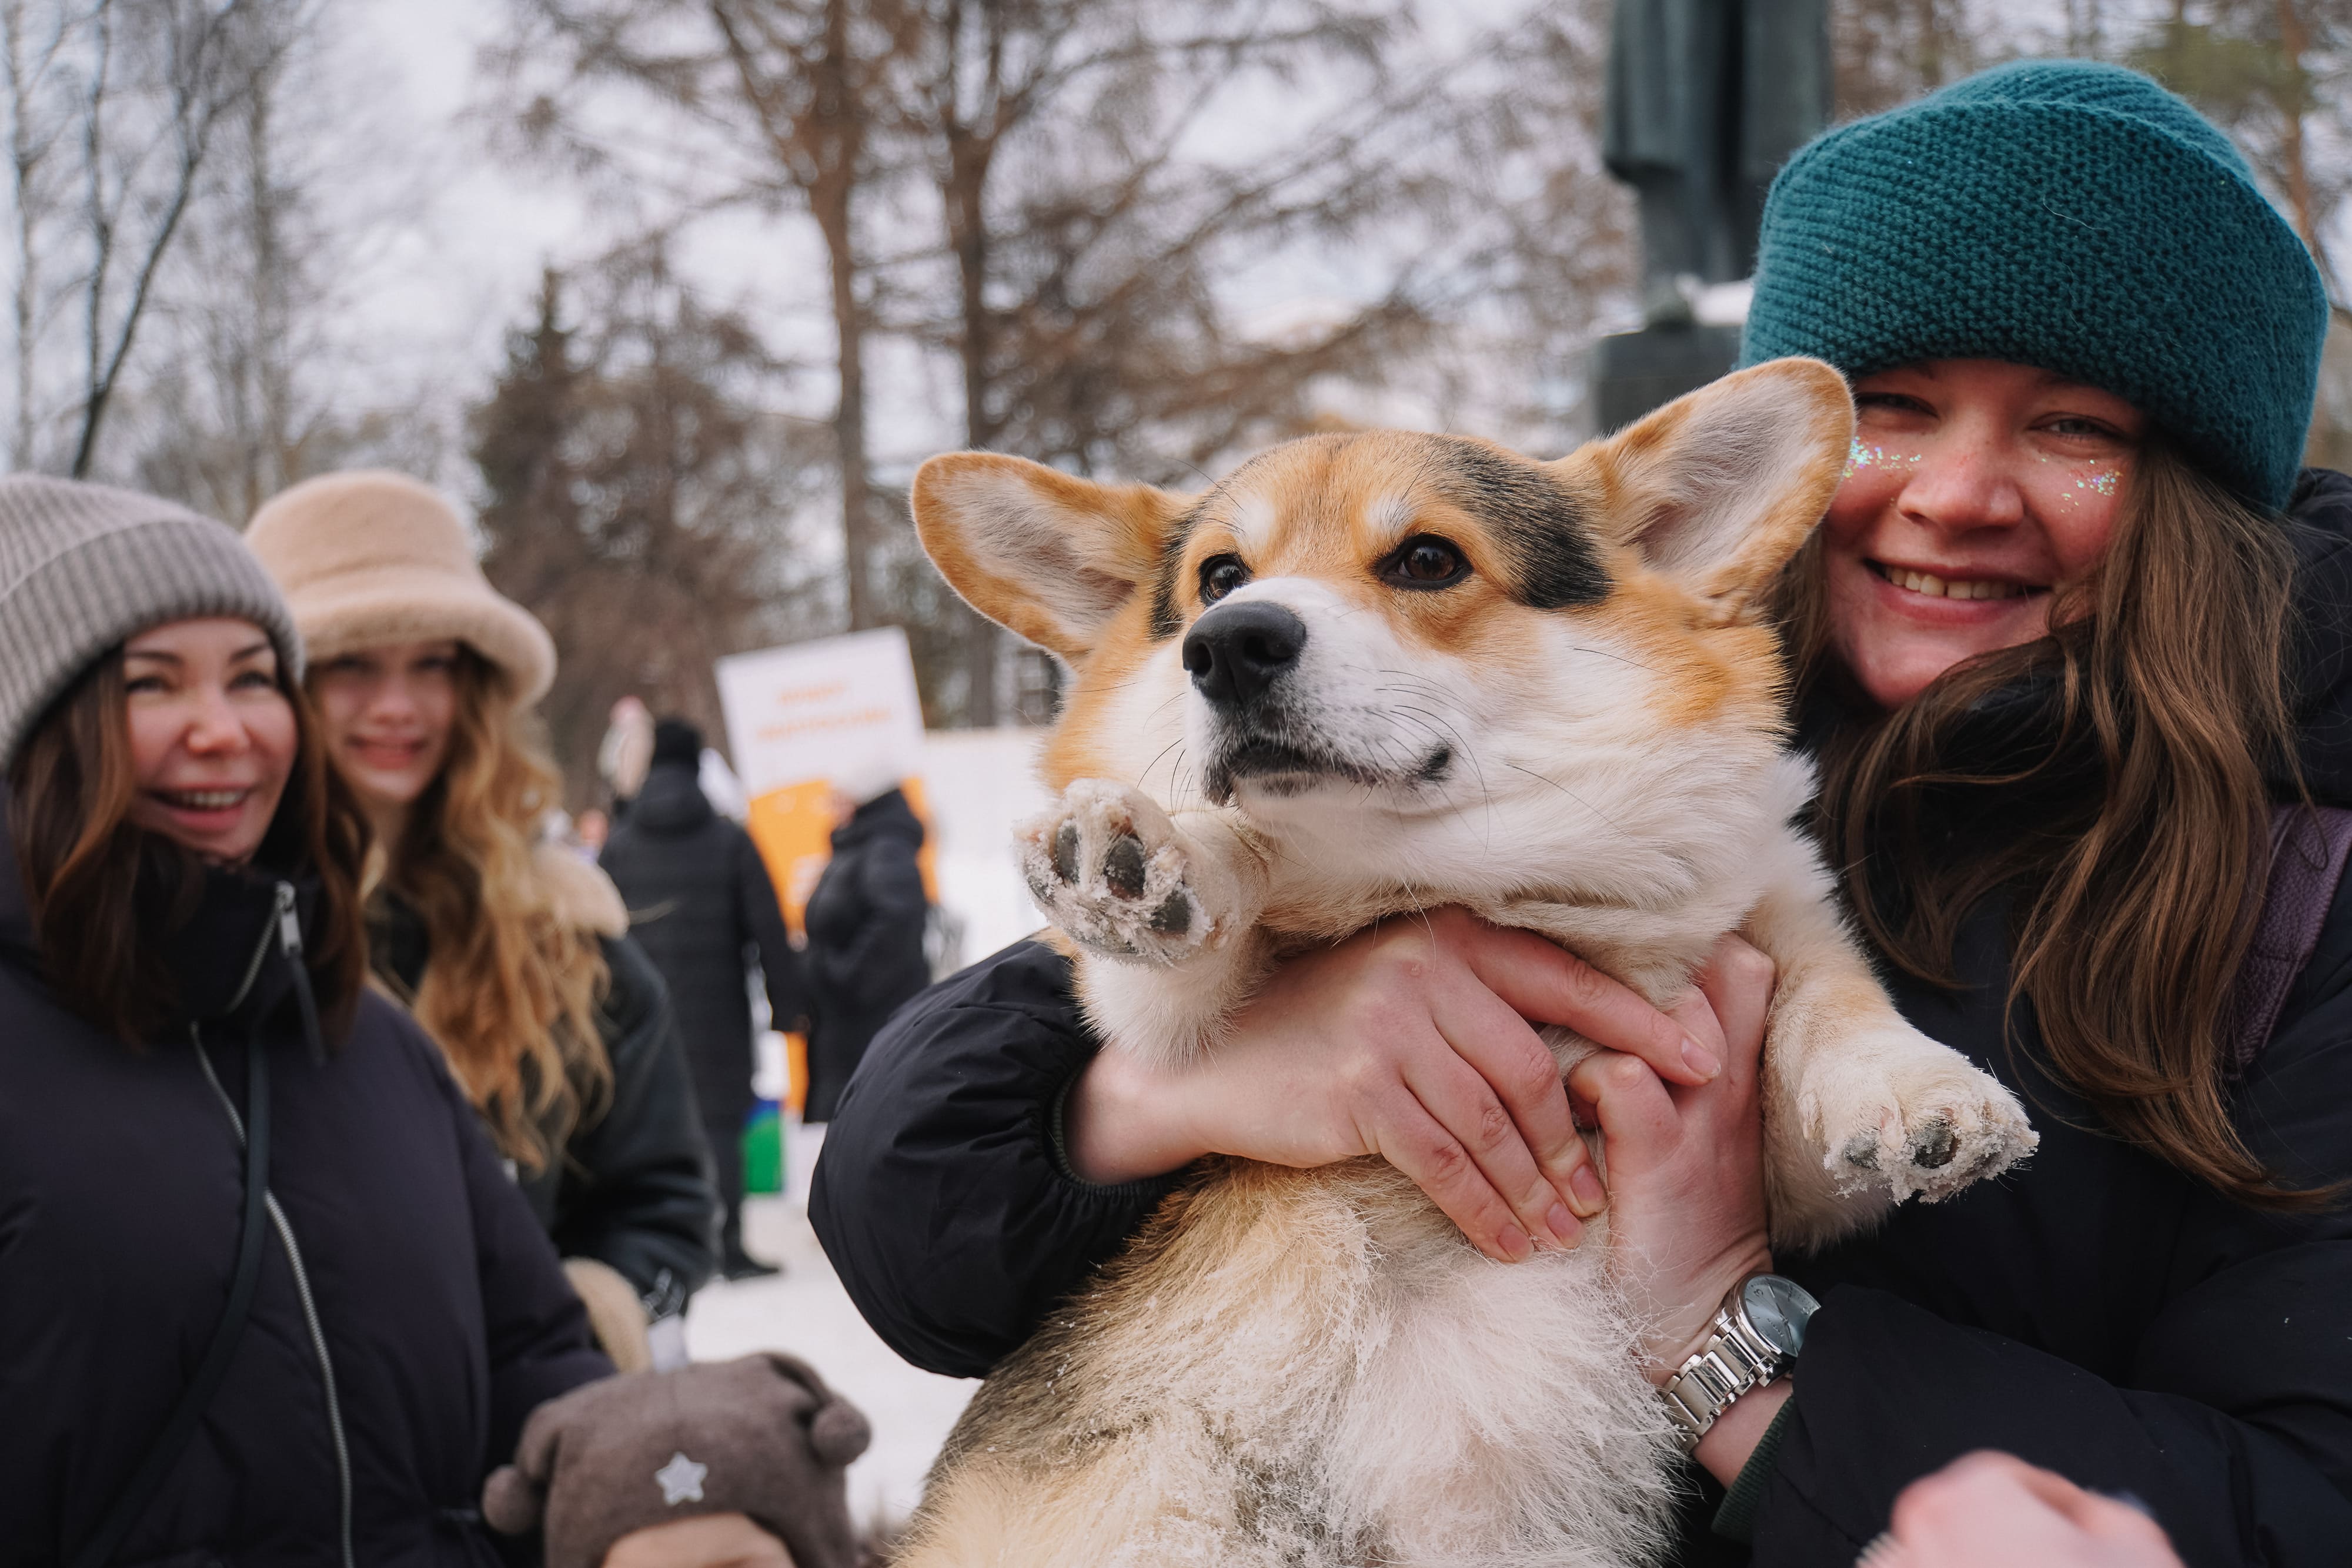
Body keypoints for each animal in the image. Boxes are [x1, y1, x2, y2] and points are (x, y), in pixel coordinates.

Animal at [889, 359, 2032, 1568]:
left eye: (1428, 559)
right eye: (1219, 579)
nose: (1229, 643)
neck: (1467, 884)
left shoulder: (1779, 1134)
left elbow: (1832, 999)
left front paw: (1924, 1090)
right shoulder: (1165, 1033)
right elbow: (1208, 906)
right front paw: (1147, 855)